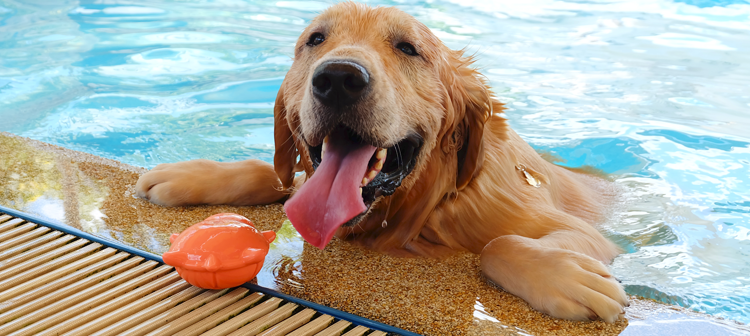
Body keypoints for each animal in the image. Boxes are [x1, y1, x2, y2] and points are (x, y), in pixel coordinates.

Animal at [135, 1, 628, 322]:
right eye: (316, 39)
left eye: (408, 48)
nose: (338, 79)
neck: (428, 204)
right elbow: (277, 174)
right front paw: (188, 175)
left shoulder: (580, 232)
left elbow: (498, 244)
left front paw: (569, 278)